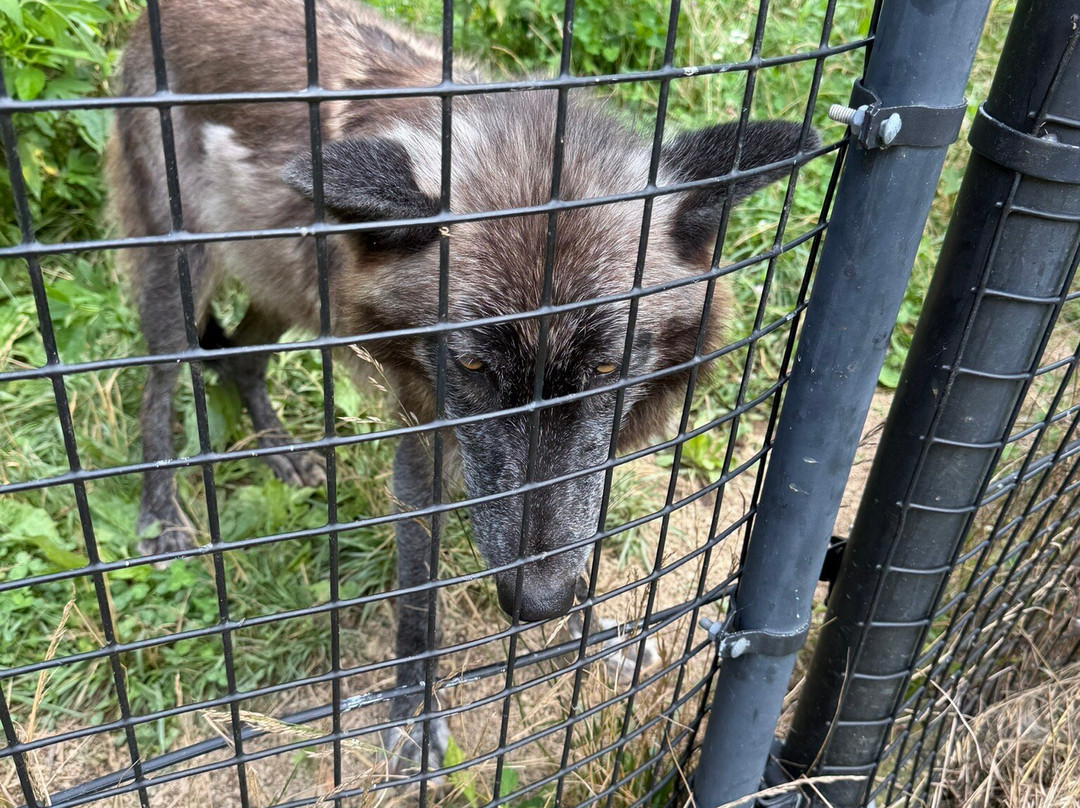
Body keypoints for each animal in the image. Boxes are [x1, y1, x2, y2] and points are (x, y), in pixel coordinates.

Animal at [106, 0, 816, 776]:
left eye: (608, 368)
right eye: (473, 367)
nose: (535, 603)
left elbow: (580, 543)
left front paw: (593, 631)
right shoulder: (421, 451)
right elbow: (419, 599)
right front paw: (415, 711)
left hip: (287, 285)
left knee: (241, 359)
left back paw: (284, 455)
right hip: (183, 278)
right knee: (160, 381)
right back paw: (161, 516)